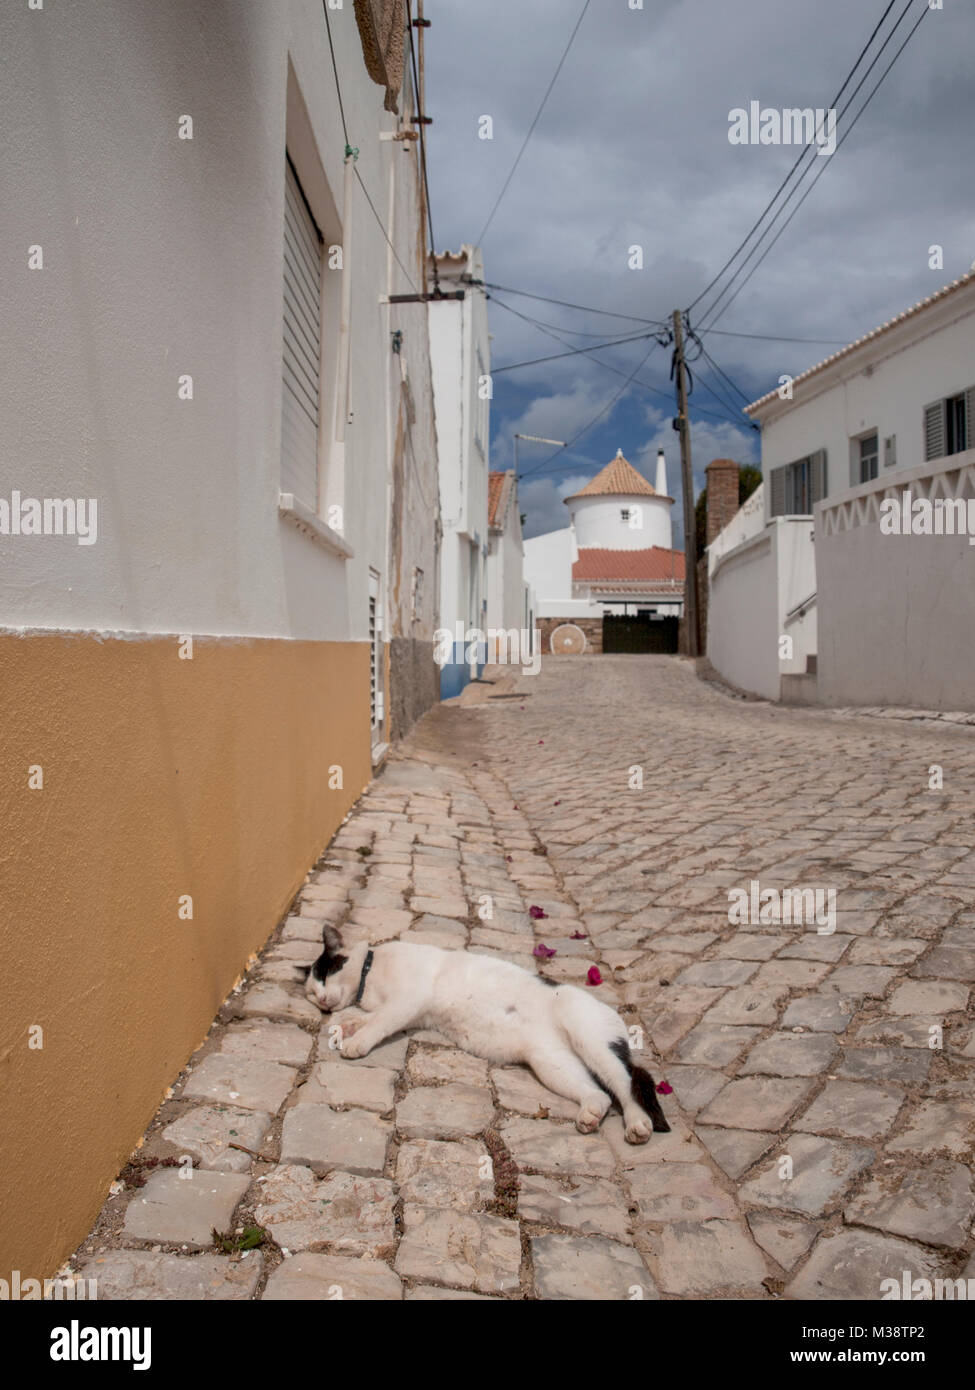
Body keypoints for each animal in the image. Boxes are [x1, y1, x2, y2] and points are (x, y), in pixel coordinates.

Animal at [304, 928, 670, 1145]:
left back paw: (638, 1124)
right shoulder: (403, 1008)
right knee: (599, 1093)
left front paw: (356, 1041)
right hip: (550, 1062)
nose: (320, 999)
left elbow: (378, 1021)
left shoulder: (408, 999)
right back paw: (590, 1116)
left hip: (589, 1038)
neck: (371, 974)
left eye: (327, 972)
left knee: (626, 1083)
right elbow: (365, 1017)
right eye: (309, 991)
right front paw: (345, 1024)